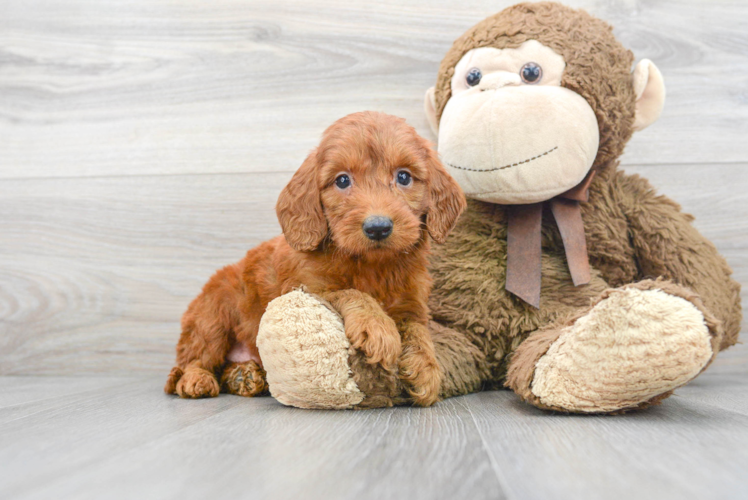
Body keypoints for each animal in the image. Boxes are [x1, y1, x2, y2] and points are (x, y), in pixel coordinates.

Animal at [167, 110, 464, 406]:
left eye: (404, 177)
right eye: (342, 180)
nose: (378, 227)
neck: (373, 265)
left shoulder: (412, 303)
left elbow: (418, 330)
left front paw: (426, 368)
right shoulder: (305, 287)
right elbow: (350, 292)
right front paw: (378, 327)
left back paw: (246, 376)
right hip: (212, 316)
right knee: (193, 360)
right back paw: (198, 379)